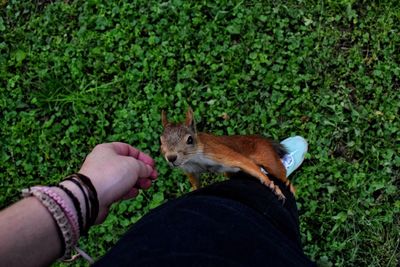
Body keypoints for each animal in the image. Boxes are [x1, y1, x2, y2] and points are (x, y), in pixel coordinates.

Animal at [159, 108, 294, 200]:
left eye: (190, 140)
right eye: (160, 140)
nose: (171, 157)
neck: (194, 159)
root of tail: (261, 139)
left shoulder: (218, 152)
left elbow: (244, 162)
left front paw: (270, 184)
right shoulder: (190, 170)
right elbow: (196, 183)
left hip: (269, 159)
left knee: (282, 175)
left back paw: (290, 187)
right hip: (229, 172)